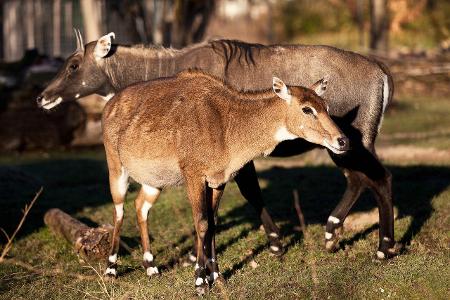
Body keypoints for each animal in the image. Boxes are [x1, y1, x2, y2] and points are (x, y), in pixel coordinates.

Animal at [39, 31, 398, 258]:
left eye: (73, 65)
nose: (43, 96)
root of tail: (381, 70)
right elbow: (247, 194)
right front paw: (274, 243)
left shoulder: (233, 155)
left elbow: (243, 195)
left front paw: (272, 245)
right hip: (342, 146)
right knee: (358, 180)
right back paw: (331, 233)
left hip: (352, 141)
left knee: (379, 178)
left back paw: (384, 247)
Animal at [101, 68, 348, 292]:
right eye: (307, 109)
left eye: (326, 107)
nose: (343, 140)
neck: (227, 127)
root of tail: (109, 104)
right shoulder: (194, 174)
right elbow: (201, 223)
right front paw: (200, 281)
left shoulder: (218, 180)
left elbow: (213, 223)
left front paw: (217, 277)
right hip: (116, 167)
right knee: (119, 211)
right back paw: (111, 269)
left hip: (154, 181)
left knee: (140, 206)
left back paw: (151, 267)